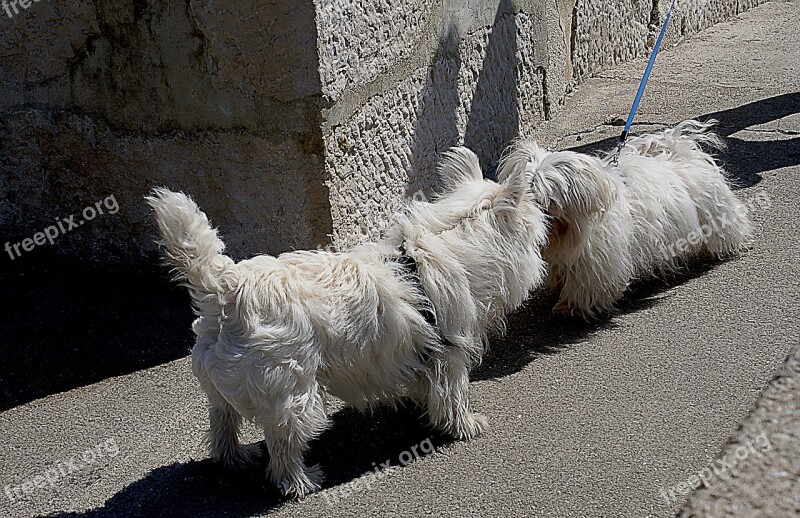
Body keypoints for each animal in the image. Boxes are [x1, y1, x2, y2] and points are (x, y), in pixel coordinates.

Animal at [144, 147, 548, 500]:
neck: (444, 244)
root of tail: (224, 287)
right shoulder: (450, 353)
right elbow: (455, 395)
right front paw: (466, 426)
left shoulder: (423, 353)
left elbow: (427, 386)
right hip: (293, 392)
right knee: (283, 445)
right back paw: (302, 481)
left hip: (222, 385)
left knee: (223, 422)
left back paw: (237, 457)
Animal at [496, 120, 752, 318]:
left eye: (542, 196)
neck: (568, 229)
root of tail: (680, 151)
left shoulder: (596, 260)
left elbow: (586, 284)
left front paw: (572, 307)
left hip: (715, 213)